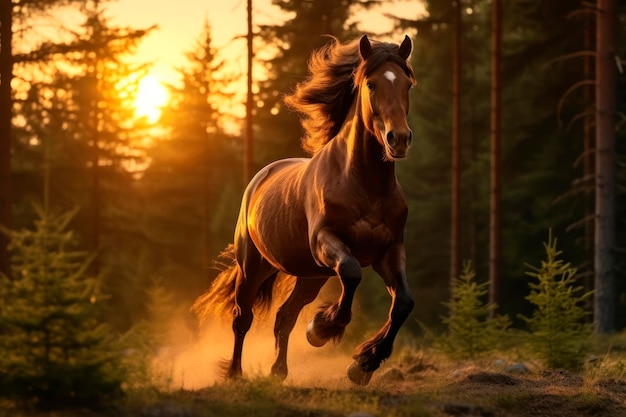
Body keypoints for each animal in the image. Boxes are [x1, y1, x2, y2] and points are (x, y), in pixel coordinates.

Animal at [190, 34, 414, 386]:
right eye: (372, 84)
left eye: (407, 83)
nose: (399, 139)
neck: (364, 184)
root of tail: (259, 178)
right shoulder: (326, 240)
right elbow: (352, 272)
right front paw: (321, 329)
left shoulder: (389, 251)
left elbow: (403, 302)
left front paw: (363, 363)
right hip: (253, 266)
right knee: (243, 318)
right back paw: (235, 374)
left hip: (312, 275)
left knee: (285, 315)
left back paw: (278, 370)